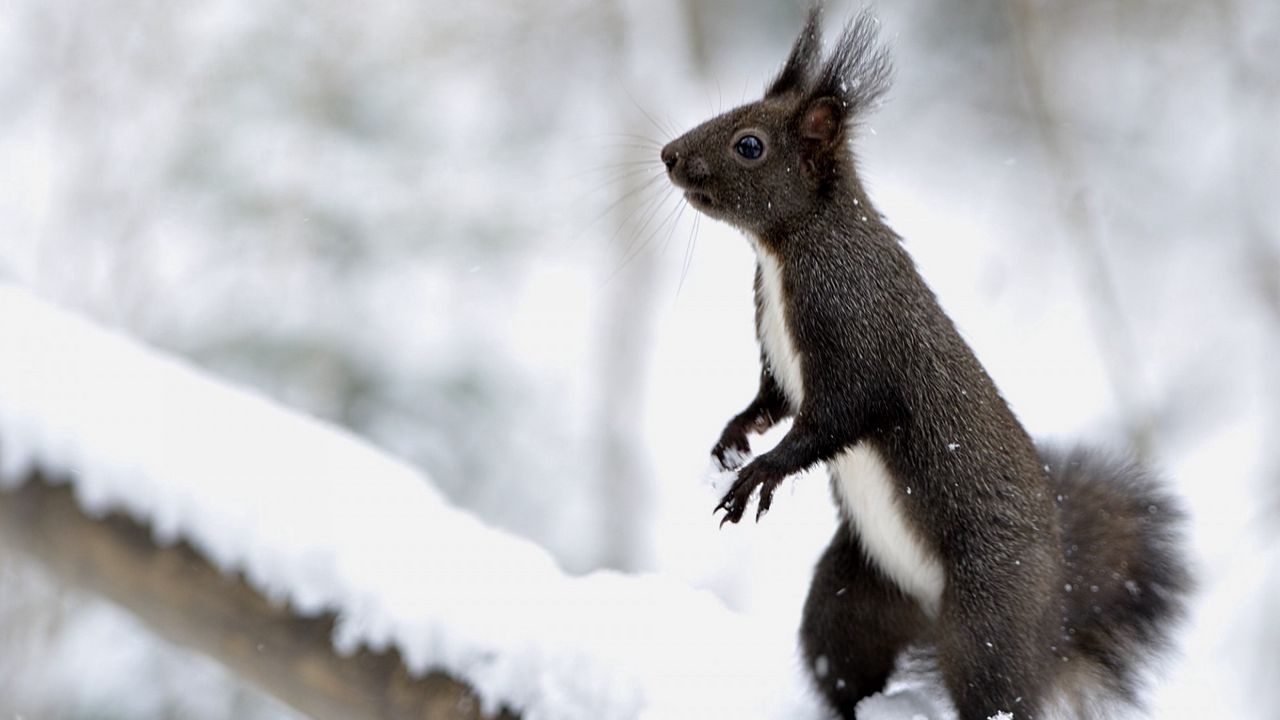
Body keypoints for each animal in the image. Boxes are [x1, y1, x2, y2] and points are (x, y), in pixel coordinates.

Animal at [660, 5, 1187, 717]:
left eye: (749, 144)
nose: (668, 155)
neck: (786, 251)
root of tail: (1052, 619)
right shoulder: (778, 361)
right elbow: (771, 402)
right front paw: (732, 439)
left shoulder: (857, 336)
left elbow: (835, 418)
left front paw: (760, 473)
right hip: (853, 596)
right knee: (841, 659)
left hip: (988, 612)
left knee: (995, 690)